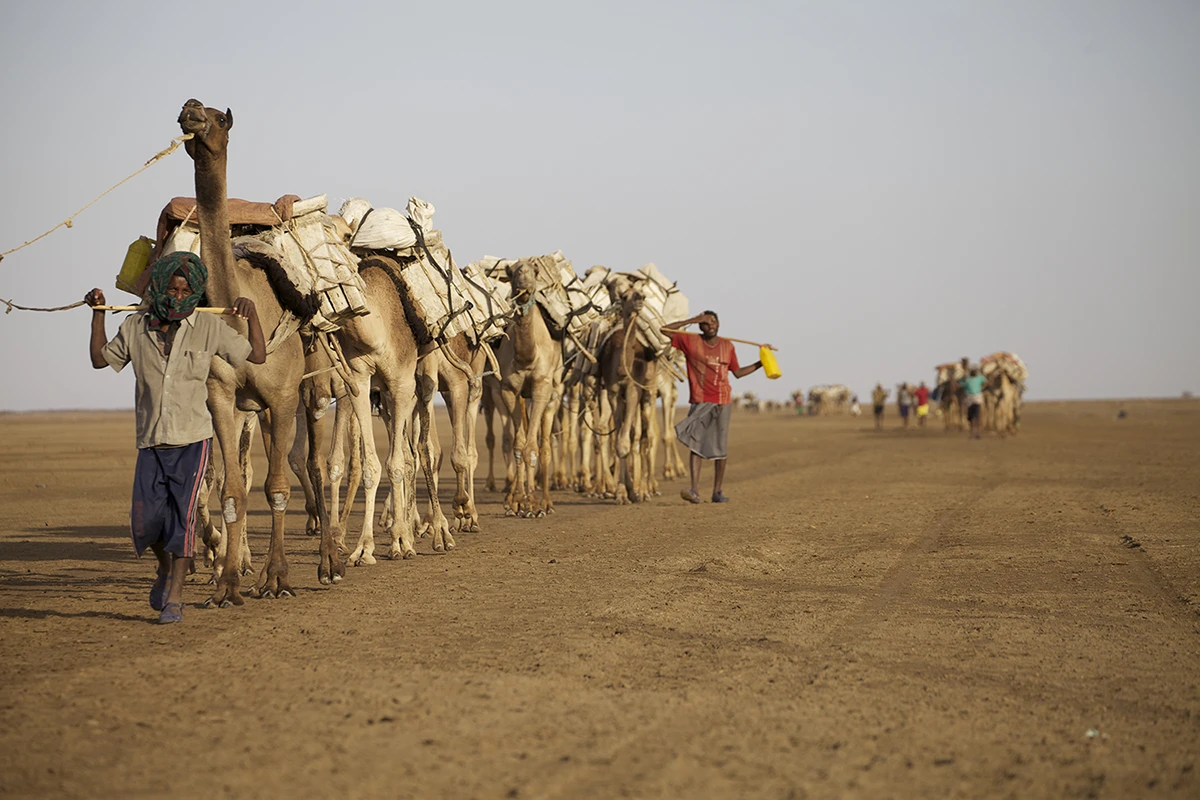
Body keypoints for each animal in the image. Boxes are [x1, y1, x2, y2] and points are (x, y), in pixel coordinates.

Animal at [177, 99, 343, 605]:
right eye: (187, 110)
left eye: (219, 118)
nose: (191, 111)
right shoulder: (222, 399)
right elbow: (232, 489)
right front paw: (226, 584)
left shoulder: (284, 394)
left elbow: (278, 488)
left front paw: (279, 579)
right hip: (265, 410)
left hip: (313, 392)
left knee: (314, 464)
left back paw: (329, 564)